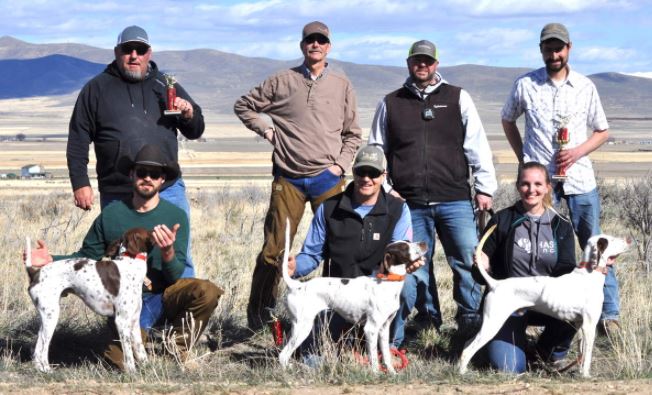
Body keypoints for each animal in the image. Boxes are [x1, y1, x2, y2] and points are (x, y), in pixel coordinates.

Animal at [25, 227, 152, 372]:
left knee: (38, 347)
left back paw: (40, 368)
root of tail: (35, 273)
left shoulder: (134, 321)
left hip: (46, 316)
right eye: (149, 232)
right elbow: (129, 354)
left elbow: (140, 350)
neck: (130, 264)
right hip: (51, 315)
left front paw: (147, 368)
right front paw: (131, 372)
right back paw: (47, 369)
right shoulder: (122, 321)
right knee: (43, 347)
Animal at [278, 220, 428, 374]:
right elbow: (374, 358)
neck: (387, 283)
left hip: (298, 326)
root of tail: (296, 286)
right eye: (404, 247)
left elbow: (386, 355)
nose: (424, 243)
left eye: (407, 242)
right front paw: (376, 374)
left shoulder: (384, 329)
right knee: (282, 355)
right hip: (303, 326)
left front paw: (392, 373)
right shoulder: (371, 329)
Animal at [458, 234, 632, 378]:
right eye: (611, 240)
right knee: (468, 349)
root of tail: (496, 284)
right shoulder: (589, 325)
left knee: (466, 344)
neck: (589, 274)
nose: (629, 240)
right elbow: (587, 355)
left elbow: (582, 354)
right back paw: (462, 373)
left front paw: (580, 373)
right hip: (493, 324)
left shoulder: (580, 325)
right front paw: (586, 376)